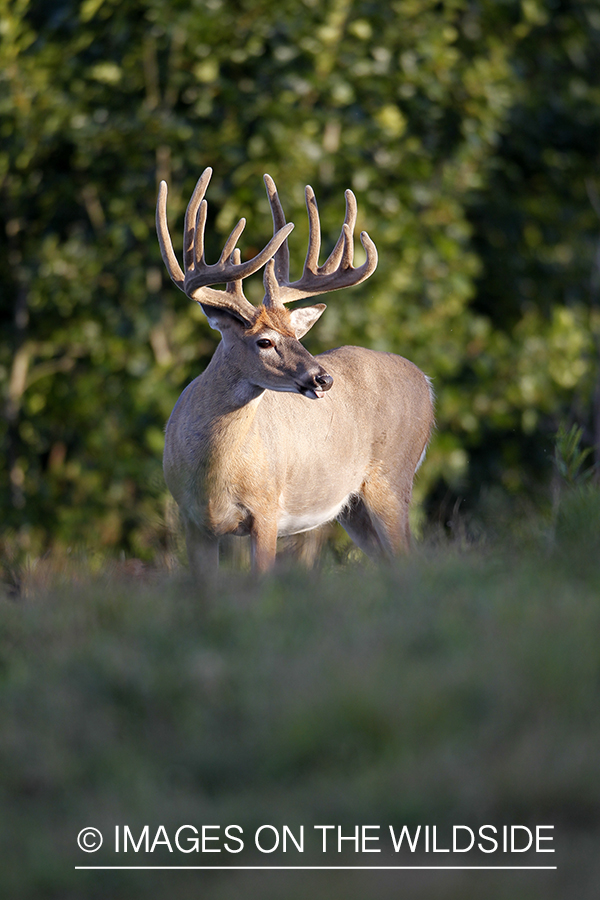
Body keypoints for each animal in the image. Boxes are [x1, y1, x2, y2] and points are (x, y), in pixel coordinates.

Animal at [157, 169, 434, 576]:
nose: (324, 378)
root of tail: (426, 382)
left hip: (392, 477)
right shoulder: (193, 520)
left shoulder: (267, 508)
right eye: (265, 341)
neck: (214, 475)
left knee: (409, 556)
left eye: (295, 334)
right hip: (353, 507)